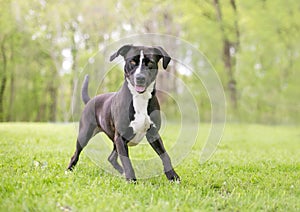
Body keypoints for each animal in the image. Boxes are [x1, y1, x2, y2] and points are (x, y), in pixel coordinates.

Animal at [67, 44, 180, 182]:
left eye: (150, 63)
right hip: (84, 134)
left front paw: (173, 177)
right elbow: (127, 162)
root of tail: (90, 100)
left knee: (111, 158)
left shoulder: (153, 134)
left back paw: (121, 173)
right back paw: (68, 170)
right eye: (132, 62)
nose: (140, 78)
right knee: (75, 155)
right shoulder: (120, 137)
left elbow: (165, 156)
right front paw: (131, 180)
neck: (139, 98)